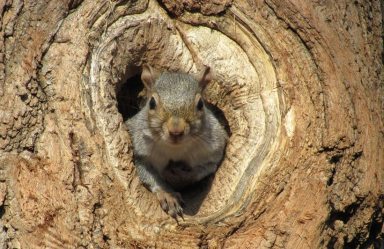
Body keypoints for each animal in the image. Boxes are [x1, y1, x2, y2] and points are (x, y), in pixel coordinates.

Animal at [126, 65, 228, 219]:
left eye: (200, 104)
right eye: (151, 103)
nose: (176, 131)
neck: (175, 149)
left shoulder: (213, 152)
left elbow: (205, 169)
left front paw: (180, 174)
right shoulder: (140, 153)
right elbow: (148, 174)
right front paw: (168, 195)